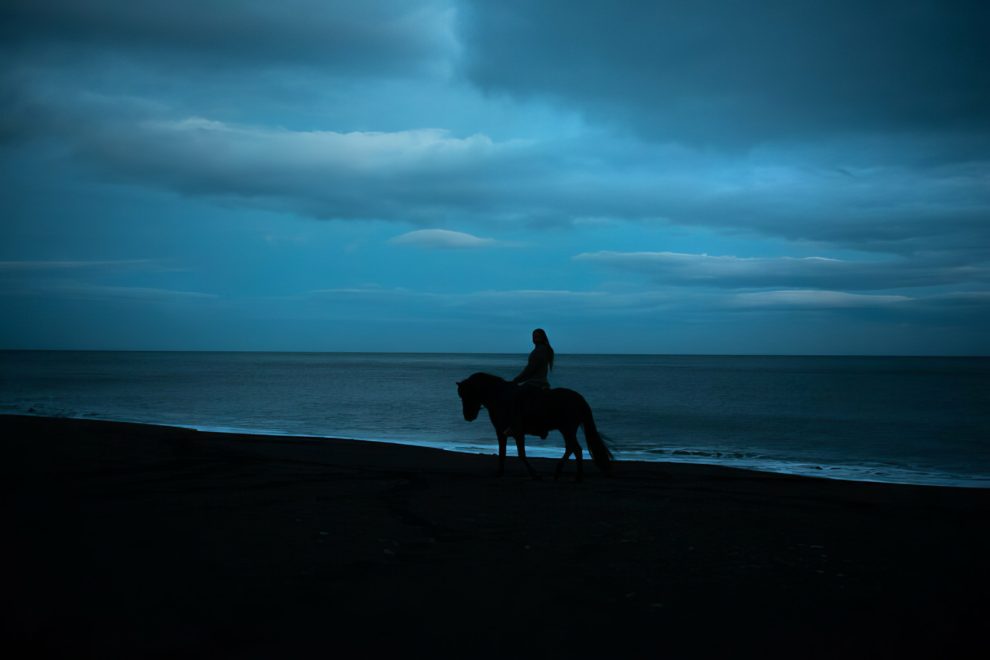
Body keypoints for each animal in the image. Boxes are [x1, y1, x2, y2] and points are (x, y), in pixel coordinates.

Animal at [458, 372, 612, 480]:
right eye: (461, 396)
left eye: (468, 394)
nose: (467, 416)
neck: (501, 398)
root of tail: (579, 398)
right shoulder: (501, 432)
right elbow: (502, 453)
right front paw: (500, 473)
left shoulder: (517, 432)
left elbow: (521, 454)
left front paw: (535, 474)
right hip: (566, 429)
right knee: (571, 448)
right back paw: (560, 472)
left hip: (567, 429)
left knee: (576, 449)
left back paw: (577, 475)